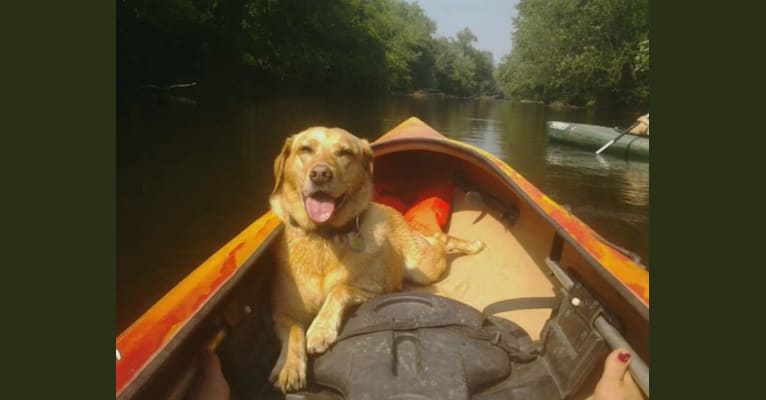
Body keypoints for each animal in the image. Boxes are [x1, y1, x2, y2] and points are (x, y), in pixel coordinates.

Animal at [270, 126, 486, 392]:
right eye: (305, 149)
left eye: (345, 153)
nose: (320, 174)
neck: (324, 237)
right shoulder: (281, 312)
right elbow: (293, 331)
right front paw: (289, 366)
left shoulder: (377, 290)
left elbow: (340, 289)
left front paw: (321, 328)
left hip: (425, 267)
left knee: (441, 239)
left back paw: (472, 245)